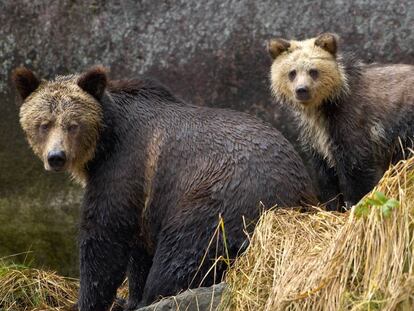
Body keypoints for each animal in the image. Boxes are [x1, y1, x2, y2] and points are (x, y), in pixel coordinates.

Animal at [12, 67, 316, 310]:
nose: (56, 157)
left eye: (73, 124)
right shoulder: (145, 196)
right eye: (43, 123)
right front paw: (129, 298)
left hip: (220, 200)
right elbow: (137, 248)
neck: (104, 142)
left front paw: (90, 300)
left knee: (180, 257)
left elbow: (104, 238)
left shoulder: (124, 167)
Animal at [266, 33, 412, 211]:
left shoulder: (352, 124)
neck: (324, 108)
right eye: (292, 72)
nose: (302, 90)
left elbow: (356, 168)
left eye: (313, 71)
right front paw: (332, 205)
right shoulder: (316, 138)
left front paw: (354, 203)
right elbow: (325, 174)